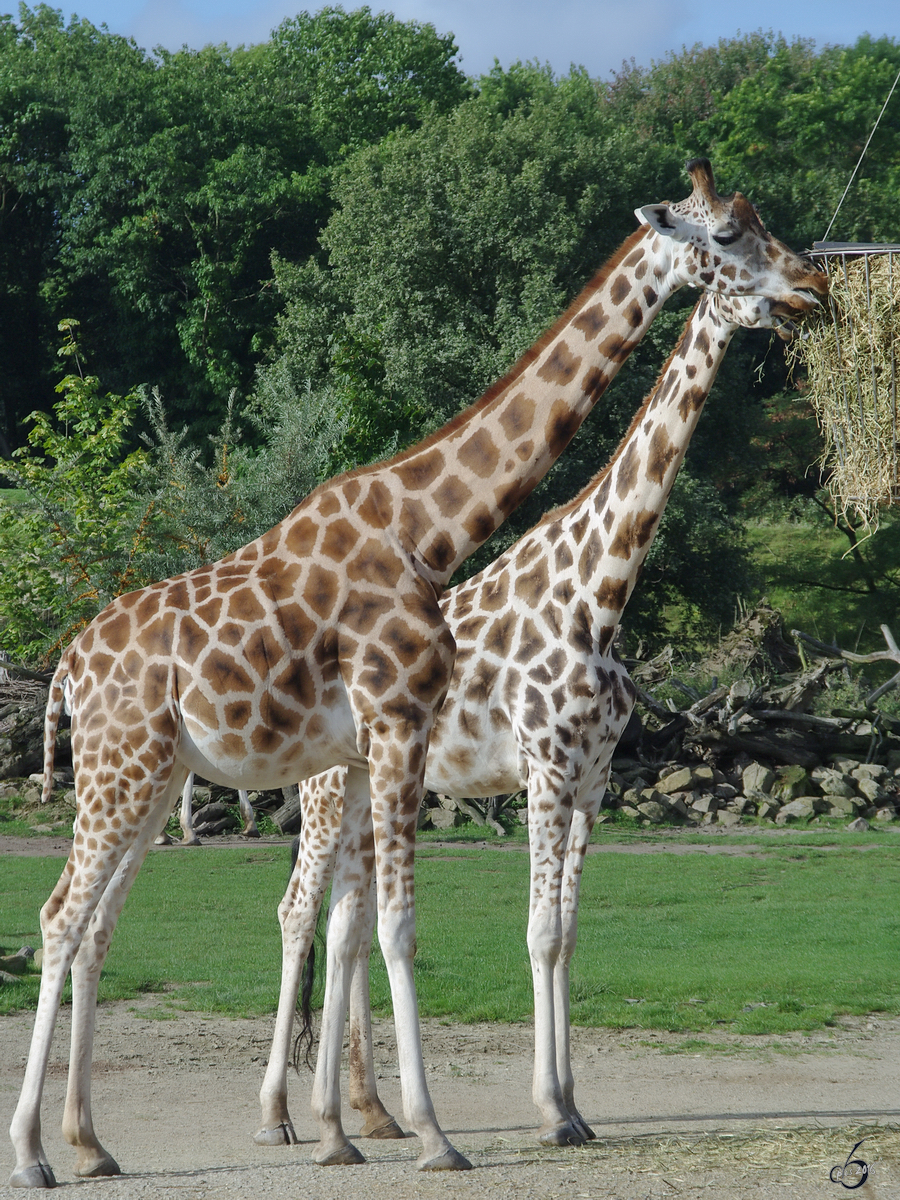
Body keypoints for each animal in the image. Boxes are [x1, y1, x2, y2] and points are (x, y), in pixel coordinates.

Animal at [252, 285, 825, 1156]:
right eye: (743, 283)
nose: (804, 304)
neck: (598, 594)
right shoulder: (546, 773)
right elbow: (539, 933)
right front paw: (552, 1111)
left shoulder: (592, 782)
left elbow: (566, 935)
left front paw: (575, 1107)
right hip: (323, 792)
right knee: (296, 913)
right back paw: (279, 1116)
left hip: (368, 791)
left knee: (347, 924)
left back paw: (372, 1115)